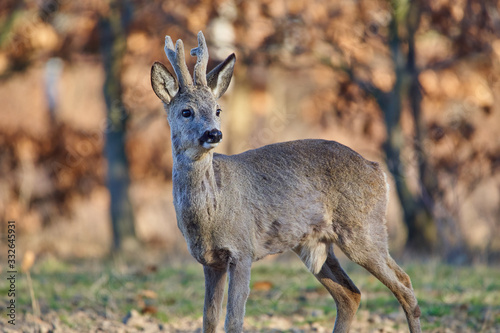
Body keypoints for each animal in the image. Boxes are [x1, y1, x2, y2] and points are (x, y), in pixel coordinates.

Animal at [150, 31, 420, 332]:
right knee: (351, 293)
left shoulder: (243, 250)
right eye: (186, 111)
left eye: (217, 109)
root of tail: (377, 170)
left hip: (365, 229)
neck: (211, 213)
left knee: (405, 285)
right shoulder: (210, 261)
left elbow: (234, 320)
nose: (214, 134)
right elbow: (209, 320)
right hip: (314, 244)